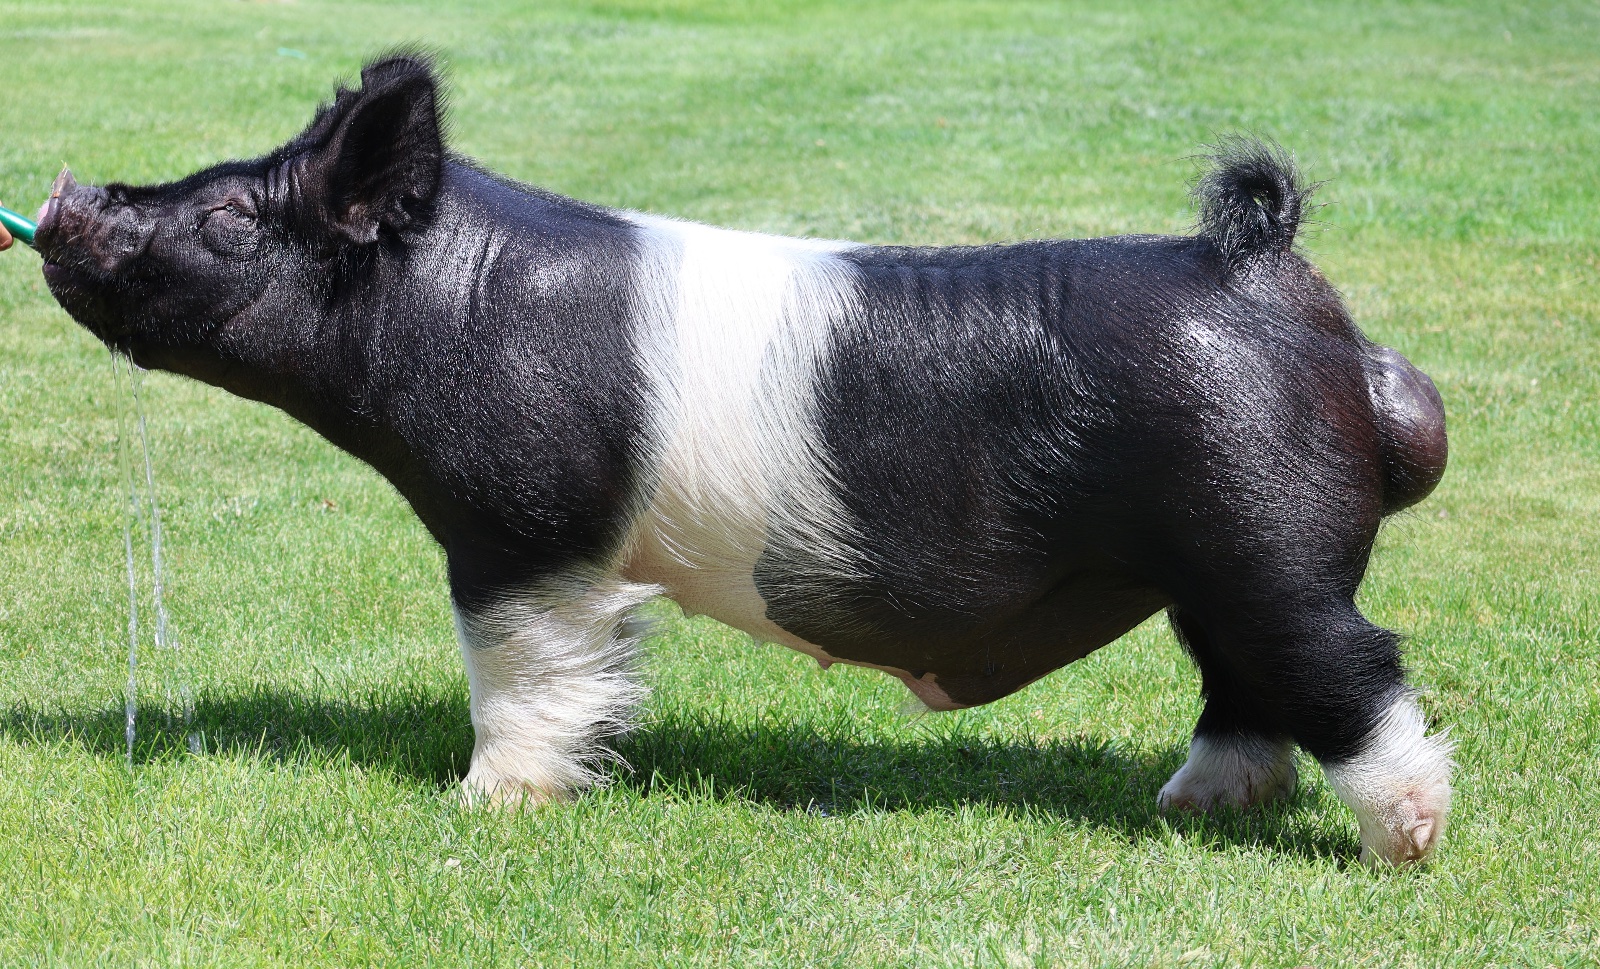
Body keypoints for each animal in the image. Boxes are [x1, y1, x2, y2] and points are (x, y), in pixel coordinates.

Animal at [34, 55, 1451, 866]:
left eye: (229, 215)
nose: (63, 195)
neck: (447, 309)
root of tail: (1273, 280)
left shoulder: (521, 531)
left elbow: (516, 675)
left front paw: (486, 811)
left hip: (1260, 536)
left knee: (1348, 667)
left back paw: (1403, 845)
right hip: (1211, 563)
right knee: (1246, 683)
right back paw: (1190, 809)